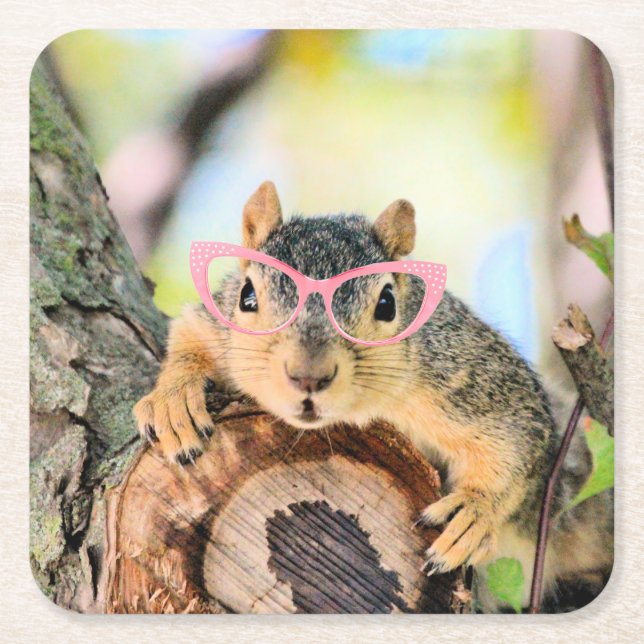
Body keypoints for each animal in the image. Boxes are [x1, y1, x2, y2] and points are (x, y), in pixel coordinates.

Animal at [134, 181, 612, 611]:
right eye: (247, 296)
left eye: (387, 303)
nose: (309, 375)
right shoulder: (216, 324)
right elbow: (189, 334)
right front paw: (174, 400)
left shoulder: (472, 379)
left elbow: (516, 441)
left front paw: (473, 513)